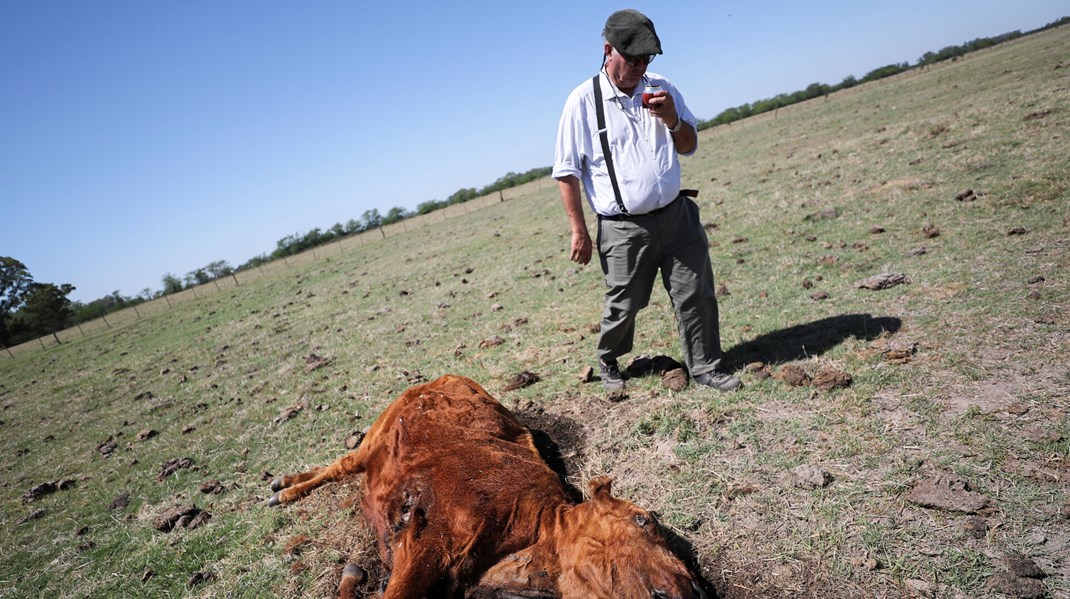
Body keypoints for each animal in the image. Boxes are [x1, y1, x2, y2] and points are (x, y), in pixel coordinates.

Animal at [267, 374, 706, 599]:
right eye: (644, 520)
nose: (696, 590)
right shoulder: (428, 540)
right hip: (374, 437)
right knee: (339, 465)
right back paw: (284, 489)